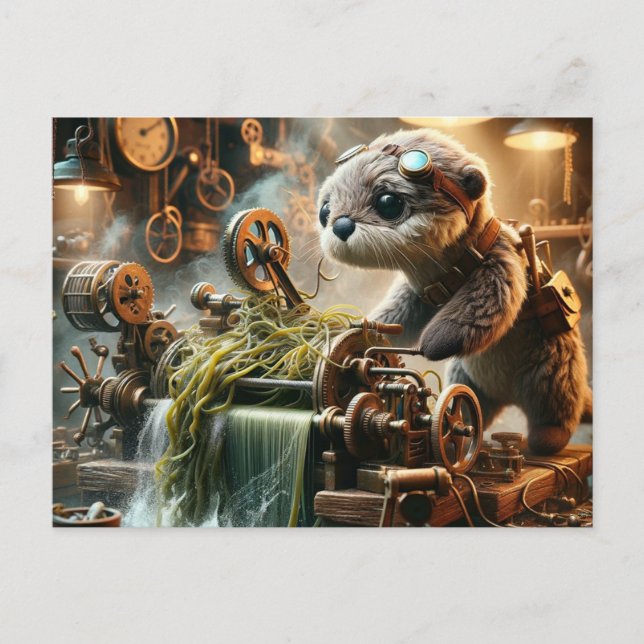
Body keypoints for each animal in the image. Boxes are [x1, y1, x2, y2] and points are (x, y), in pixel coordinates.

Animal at [317, 128, 591, 455]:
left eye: (388, 202)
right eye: (325, 209)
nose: (340, 224)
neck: (441, 270)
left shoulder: (499, 264)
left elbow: (484, 306)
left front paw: (432, 344)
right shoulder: (416, 293)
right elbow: (397, 315)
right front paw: (366, 330)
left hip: (552, 373)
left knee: (555, 410)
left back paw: (546, 439)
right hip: (468, 376)